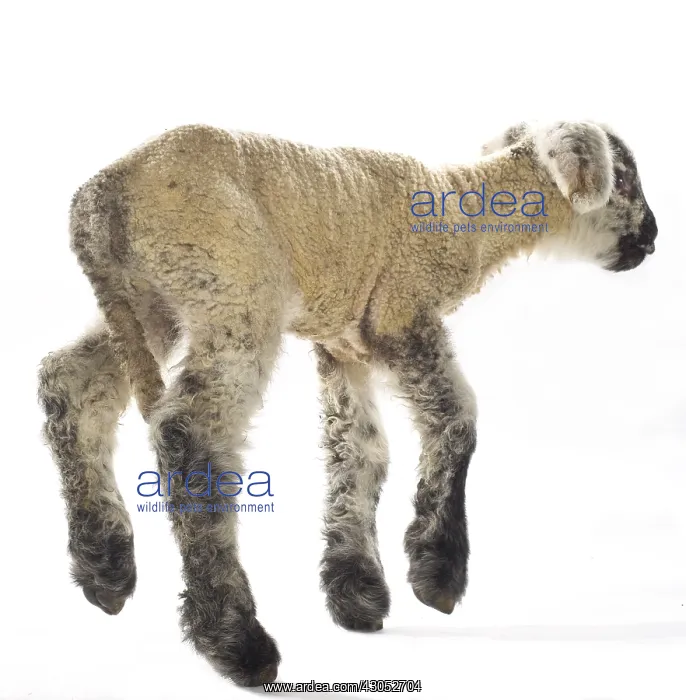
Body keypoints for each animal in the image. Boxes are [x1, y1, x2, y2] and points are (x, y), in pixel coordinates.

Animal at [37, 121, 657, 686]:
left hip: (147, 304)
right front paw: (437, 573)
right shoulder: (401, 313)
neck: (471, 214)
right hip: (227, 289)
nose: (652, 236)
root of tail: (101, 198)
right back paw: (237, 642)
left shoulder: (344, 342)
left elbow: (360, 451)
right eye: (623, 178)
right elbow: (457, 417)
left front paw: (356, 592)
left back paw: (104, 568)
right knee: (187, 435)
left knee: (67, 383)